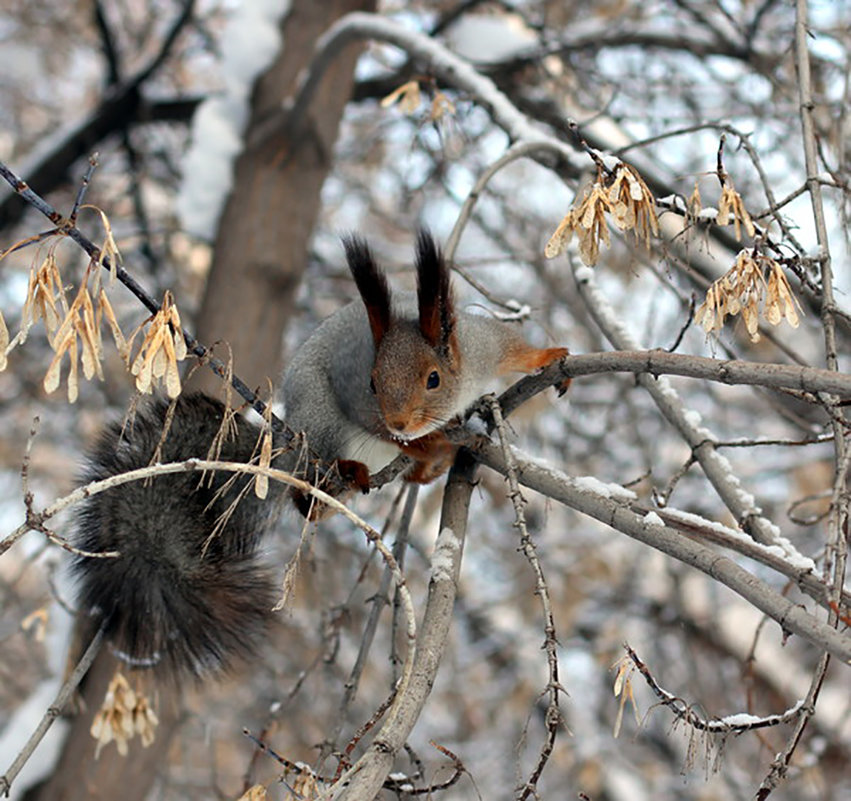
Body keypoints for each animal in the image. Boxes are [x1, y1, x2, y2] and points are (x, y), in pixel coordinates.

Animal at [70, 230, 568, 676]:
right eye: (372, 382)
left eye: (433, 378)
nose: (399, 422)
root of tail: (289, 451)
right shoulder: (360, 404)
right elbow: (398, 432)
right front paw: (438, 439)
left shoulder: (483, 347)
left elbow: (514, 349)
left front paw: (551, 357)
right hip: (324, 426)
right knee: (306, 497)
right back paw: (352, 473)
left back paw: (428, 465)